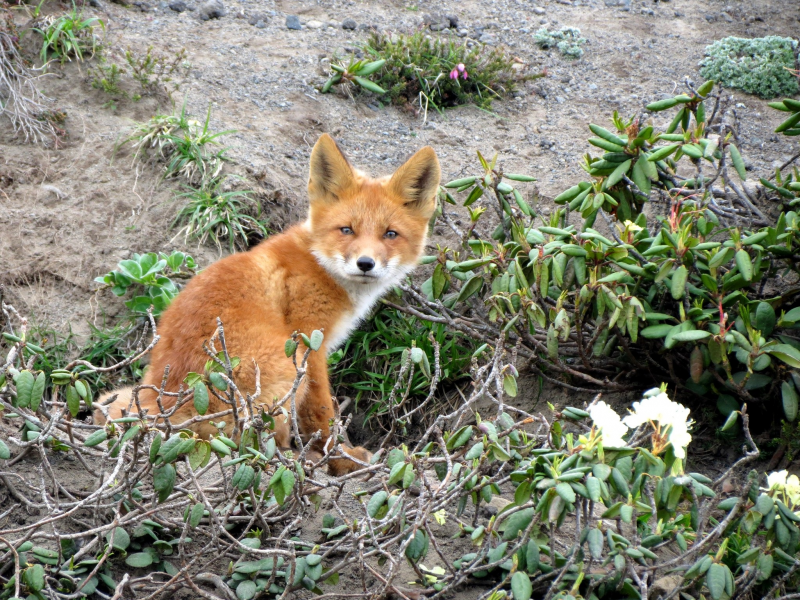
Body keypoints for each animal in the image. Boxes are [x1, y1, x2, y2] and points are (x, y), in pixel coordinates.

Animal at [96, 134, 440, 476]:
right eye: (347, 230)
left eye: (390, 234)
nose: (365, 263)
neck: (319, 263)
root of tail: (170, 405)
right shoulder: (310, 343)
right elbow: (322, 412)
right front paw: (341, 458)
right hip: (285, 365)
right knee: (251, 442)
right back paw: (297, 459)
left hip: (132, 392)